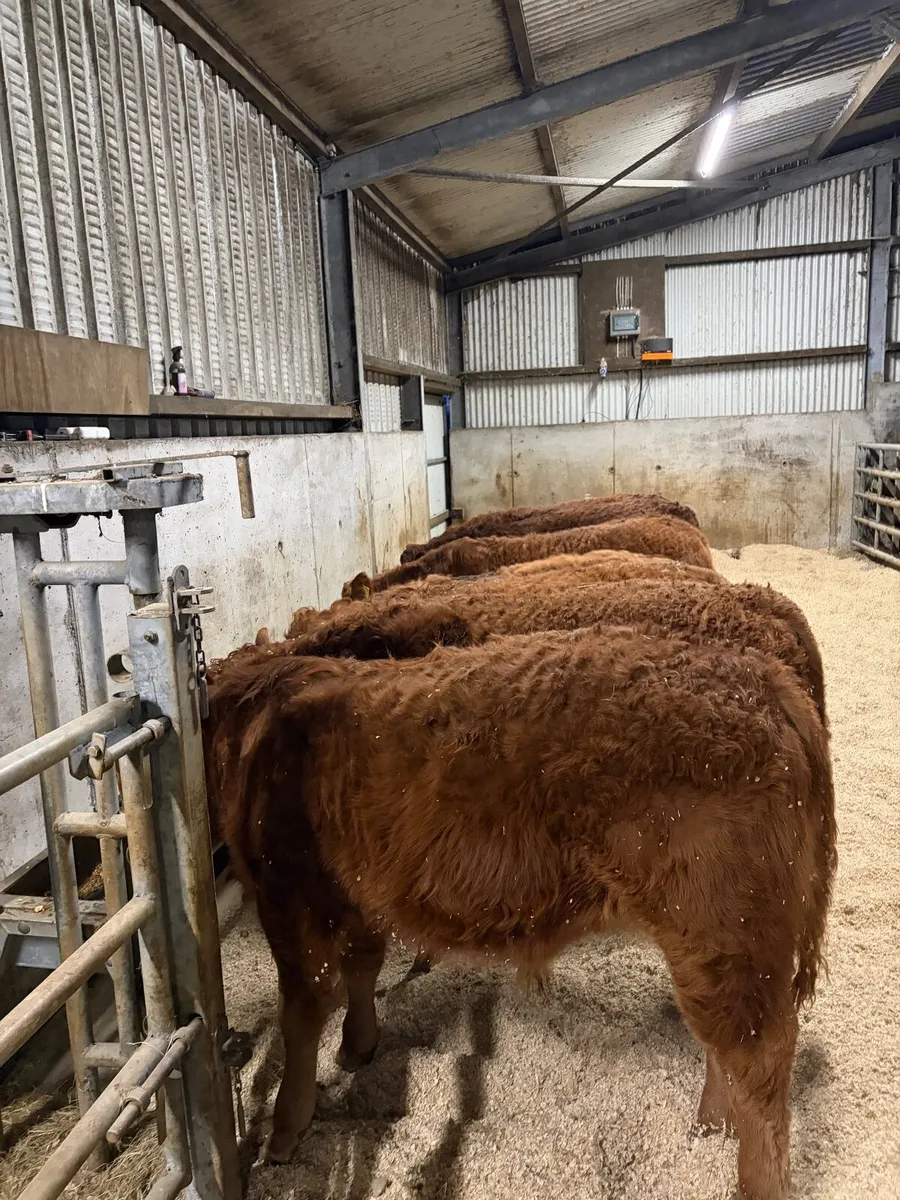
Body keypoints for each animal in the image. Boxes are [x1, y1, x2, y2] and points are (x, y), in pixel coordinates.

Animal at [205, 627, 835, 1200]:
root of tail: (761, 677)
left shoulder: (286, 894)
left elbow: (303, 1009)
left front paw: (284, 1130)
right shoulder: (359, 892)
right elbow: (362, 967)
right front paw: (358, 1046)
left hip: (728, 928)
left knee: (759, 1054)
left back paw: (753, 1178)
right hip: (719, 941)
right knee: (725, 1043)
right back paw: (710, 1126)